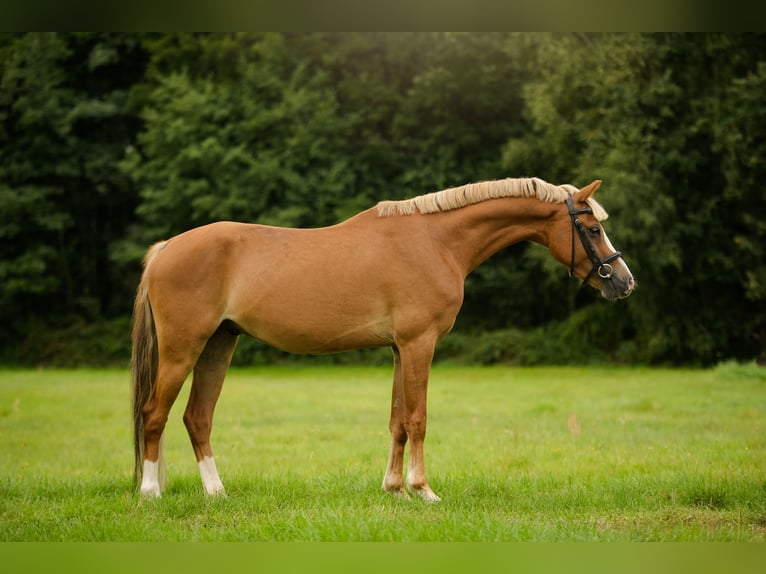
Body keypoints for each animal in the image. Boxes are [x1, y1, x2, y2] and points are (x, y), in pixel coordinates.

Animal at [131, 177, 634, 500]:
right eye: (592, 229)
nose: (624, 282)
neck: (436, 240)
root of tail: (165, 249)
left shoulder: (398, 349)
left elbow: (397, 421)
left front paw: (393, 489)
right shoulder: (419, 344)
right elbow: (418, 418)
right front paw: (423, 490)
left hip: (219, 344)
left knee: (197, 418)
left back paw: (216, 492)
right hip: (182, 350)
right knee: (154, 413)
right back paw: (151, 491)